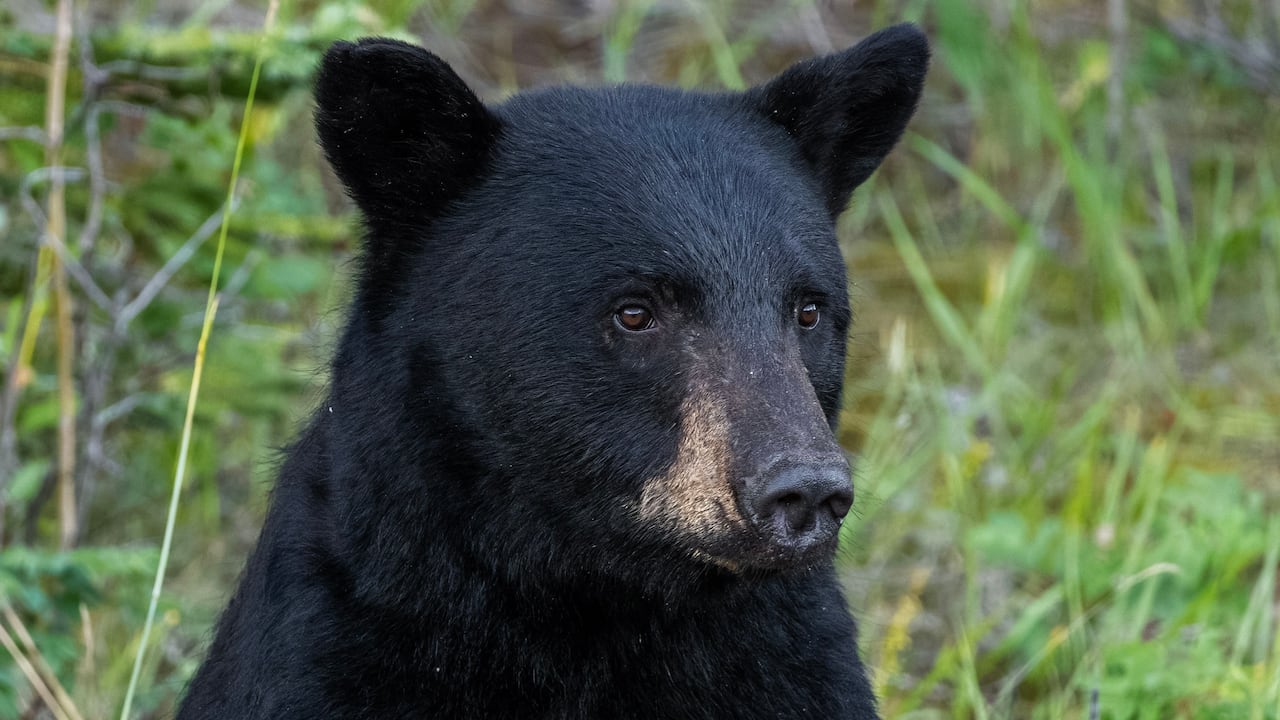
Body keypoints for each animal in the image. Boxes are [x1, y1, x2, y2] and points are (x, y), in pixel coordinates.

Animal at [177, 24, 927, 720]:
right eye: (634, 312)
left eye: (808, 310)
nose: (804, 491)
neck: (587, 603)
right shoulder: (335, 652)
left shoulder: (788, 666)